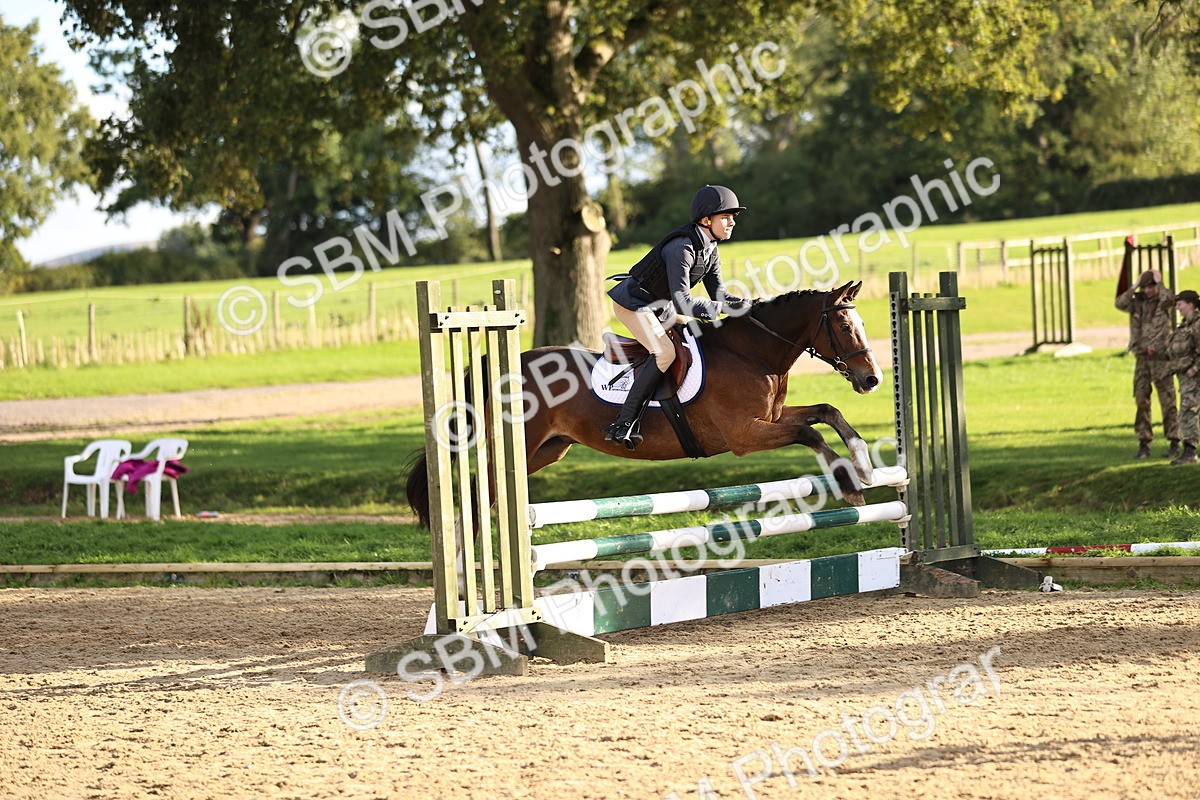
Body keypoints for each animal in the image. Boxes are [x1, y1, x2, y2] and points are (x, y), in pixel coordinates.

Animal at [405, 280, 883, 525]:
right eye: (844, 325)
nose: (871, 379)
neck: (753, 353)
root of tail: (503, 365)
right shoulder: (745, 435)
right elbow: (807, 431)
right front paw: (850, 485)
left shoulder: (770, 417)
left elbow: (826, 413)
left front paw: (862, 461)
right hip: (519, 446)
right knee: (480, 498)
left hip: (545, 451)